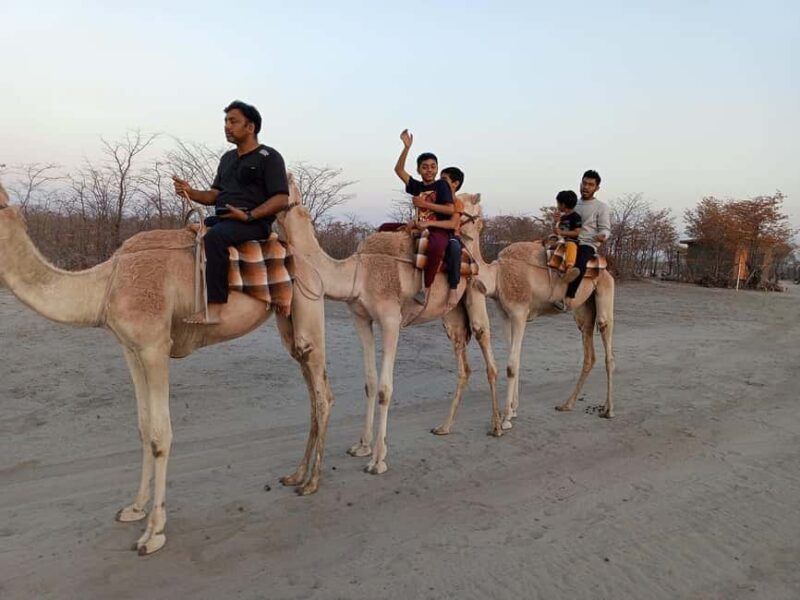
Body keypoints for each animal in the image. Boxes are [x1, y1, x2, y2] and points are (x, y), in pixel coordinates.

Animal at [0, 180, 333, 556]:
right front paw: (134, 508)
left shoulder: (155, 347)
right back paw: (296, 475)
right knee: (312, 392)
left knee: (323, 395)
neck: (106, 284)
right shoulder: (131, 349)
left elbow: (161, 434)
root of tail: (310, 265)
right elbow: (144, 428)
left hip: (308, 309)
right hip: (288, 324)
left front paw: (153, 532)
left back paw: (312, 483)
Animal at [275, 182, 502, 476]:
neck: (357, 273)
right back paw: (444, 427)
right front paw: (362, 446)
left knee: (486, 347)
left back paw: (499, 424)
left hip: (474, 291)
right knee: (463, 366)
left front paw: (378, 460)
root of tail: (472, 258)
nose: (477, 224)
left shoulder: (391, 320)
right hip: (451, 314)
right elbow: (370, 383)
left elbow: (385, 389)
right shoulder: (361, 318)